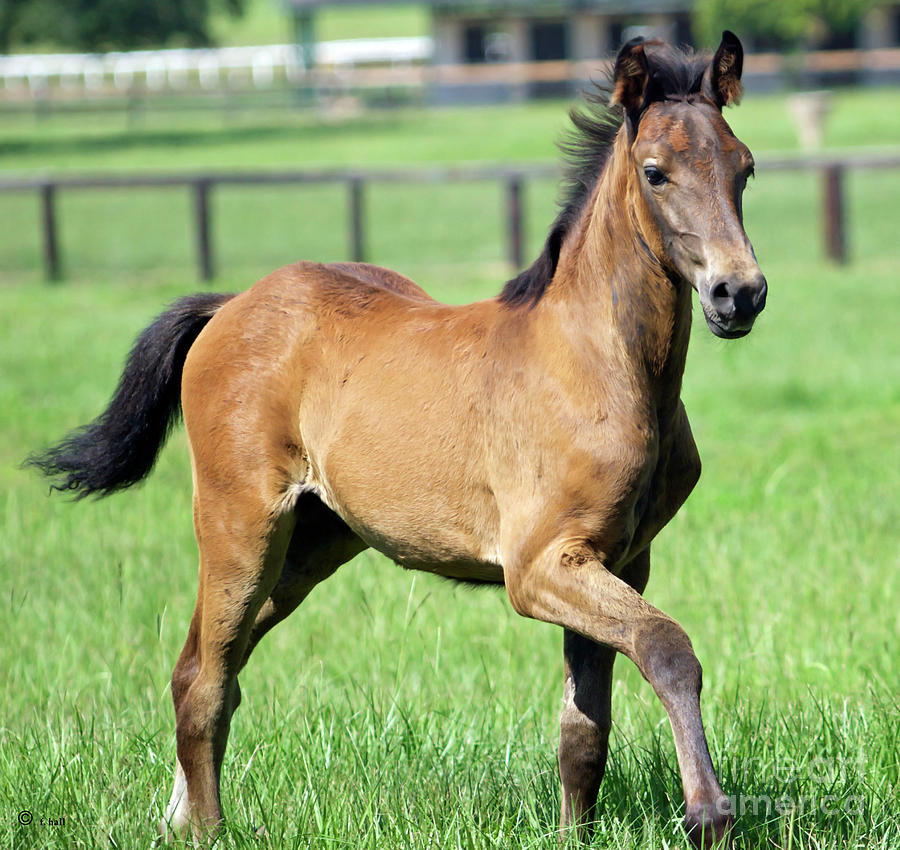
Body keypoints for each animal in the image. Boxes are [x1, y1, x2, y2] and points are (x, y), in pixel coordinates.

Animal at [33, 31, 768, 840]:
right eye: (655, 172)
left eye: (745, 167)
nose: (739, 293)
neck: (598, 365)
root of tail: (231, 304)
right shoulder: (539, 567)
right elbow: (667, 647)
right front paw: (709, 813)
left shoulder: (621, 561)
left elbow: (584, 730)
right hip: (242, 523)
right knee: (205, 675)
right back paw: (206, 828)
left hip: (313, 542)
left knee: (211, 660)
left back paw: (176, 815)